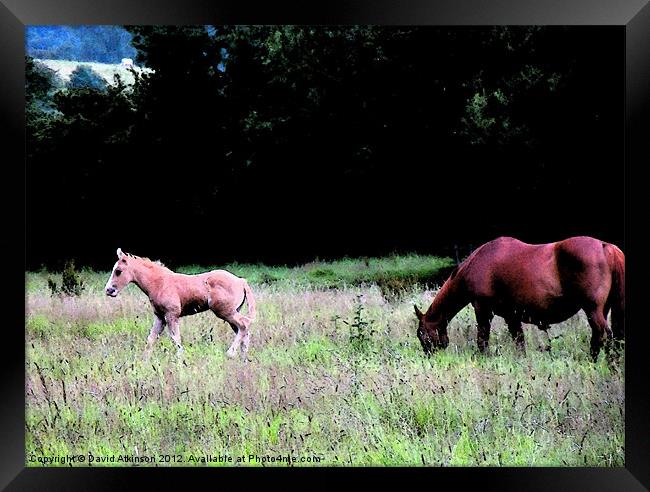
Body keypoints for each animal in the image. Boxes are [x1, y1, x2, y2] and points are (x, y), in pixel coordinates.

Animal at [104, 248, 256, 360]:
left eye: (118, 271)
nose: (109, 290)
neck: (159, 283)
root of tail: (241, 281)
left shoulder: (172, 315)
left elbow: (175, 338)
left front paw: (180, 359)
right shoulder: (160, 317)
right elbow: (151, 339)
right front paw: (144, 362)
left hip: (225, 311)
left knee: (244, 324)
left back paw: (231, 354)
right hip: (231, 312)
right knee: (243, 330)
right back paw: (243, 359)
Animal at [416, 236, 624, 360]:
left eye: (421, 334)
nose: (428, 357)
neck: (476, 264)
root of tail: (605, 246)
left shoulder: (482, 309)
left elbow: (482, 339)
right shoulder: (512, 316)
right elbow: (519, 341)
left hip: (592, 309)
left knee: (606, 336)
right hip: (602, 309)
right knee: (600, 337)